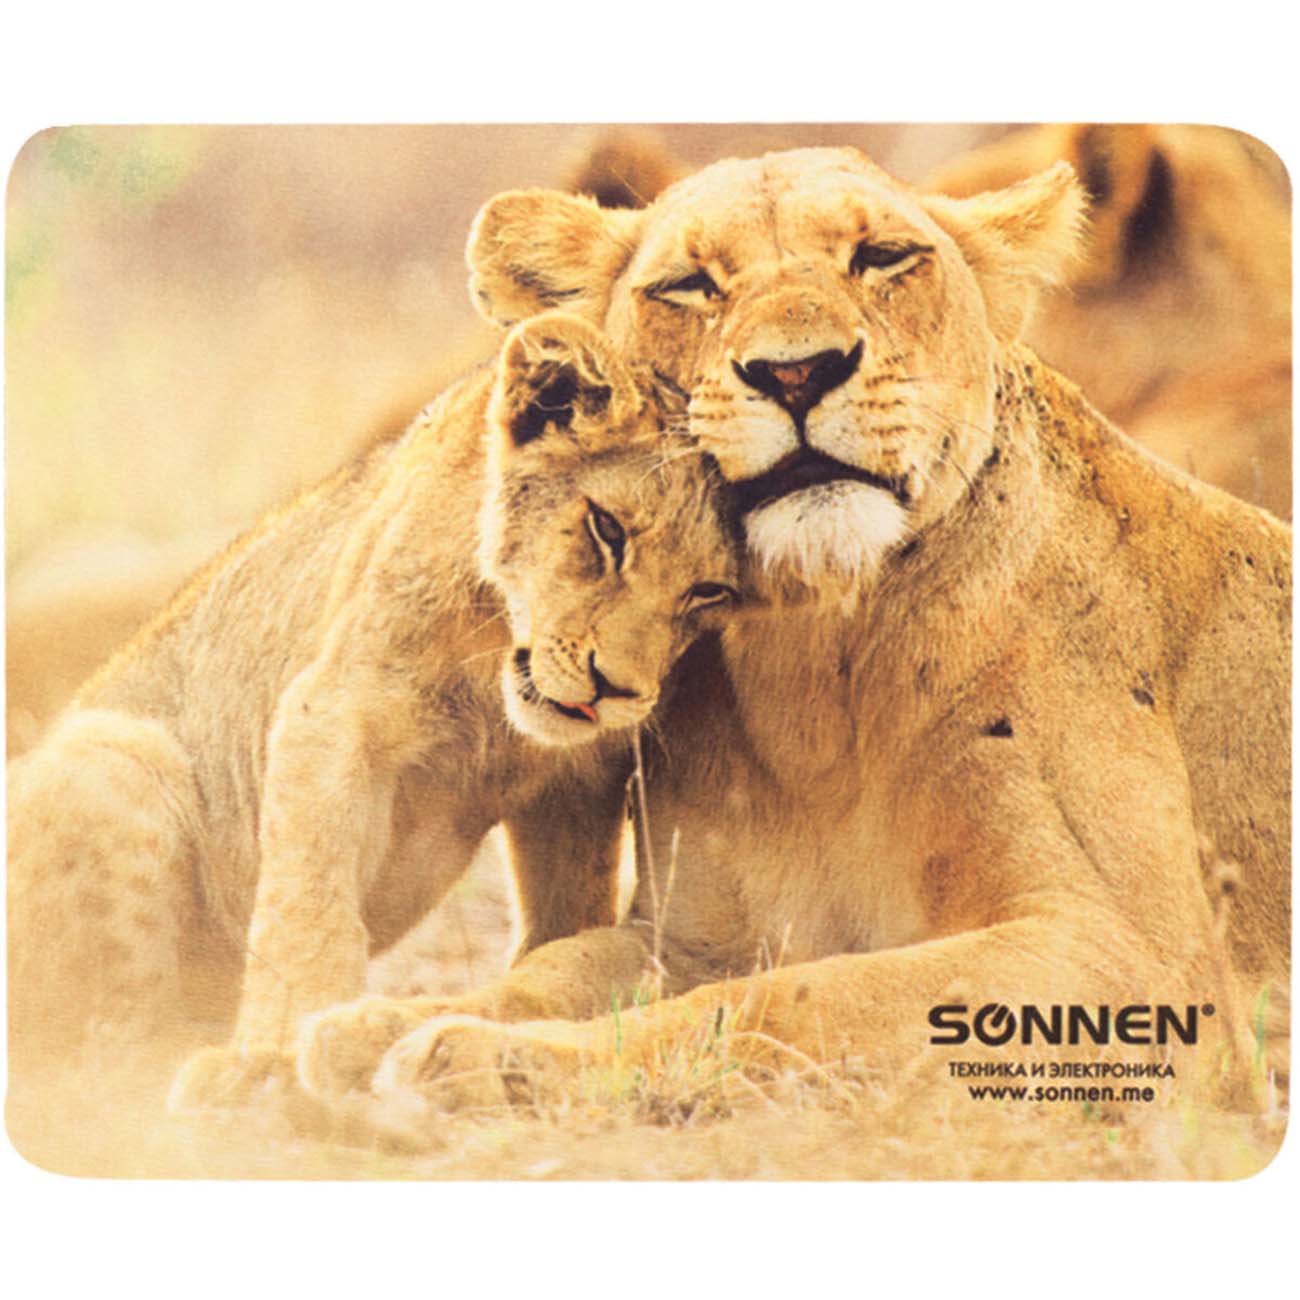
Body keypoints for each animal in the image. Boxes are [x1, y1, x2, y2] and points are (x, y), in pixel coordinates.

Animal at [6, 311, 742, 1106]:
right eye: (608, 530)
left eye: (709, 591)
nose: (617, 691)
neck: (494, 666)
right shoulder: (330, 714)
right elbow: (310, 911)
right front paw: (272, 1054)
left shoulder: (577, 782)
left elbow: (568, 913)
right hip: (111, 756)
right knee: (94, 1058)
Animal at [296, 148, 1289, 1145]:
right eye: (690, 285)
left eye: (883, 257)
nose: (799, 372)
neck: (814, 670)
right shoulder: (695, 935)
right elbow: (557, 968)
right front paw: (365, 1028)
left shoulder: (1139, 962)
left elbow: (797, 999)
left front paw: (481, 1061)